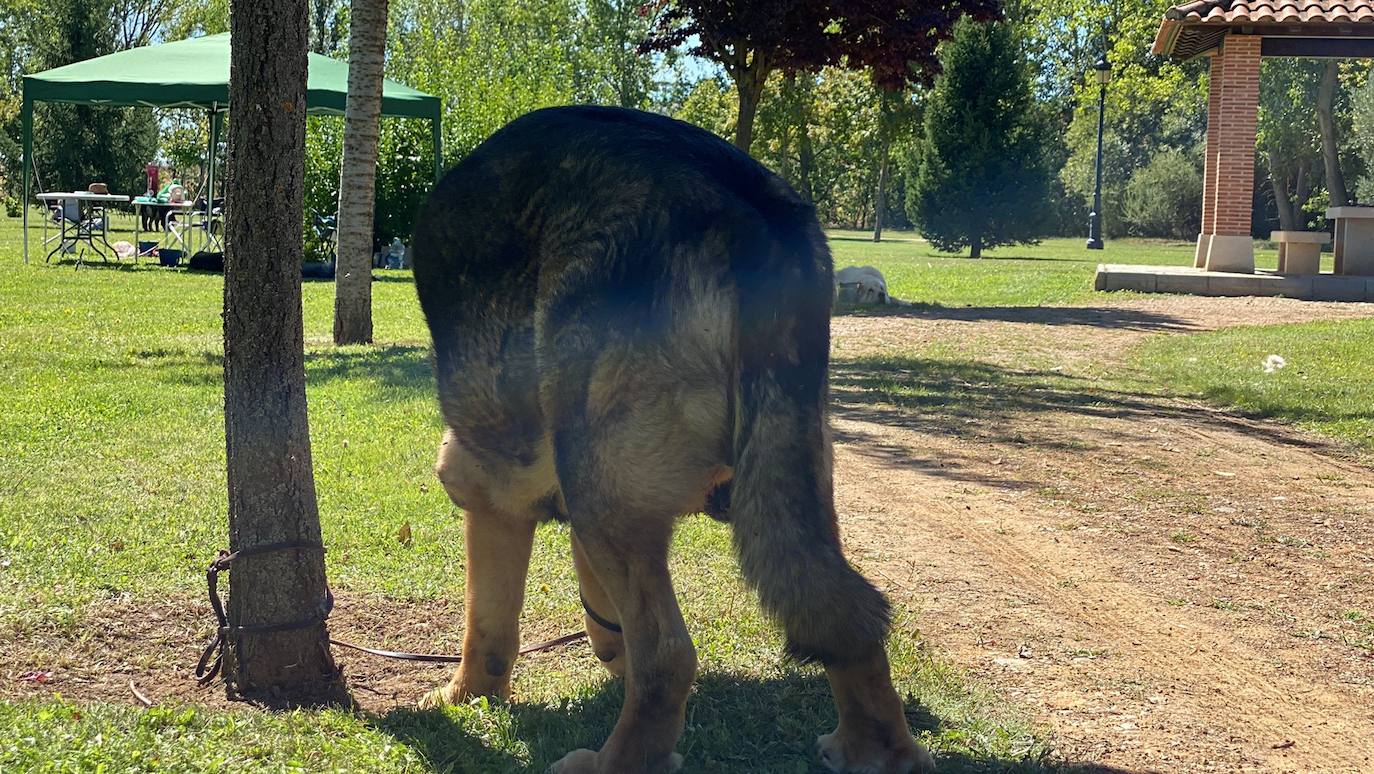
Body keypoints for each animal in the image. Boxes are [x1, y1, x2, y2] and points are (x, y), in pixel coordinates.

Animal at [401, 107, 928, 774]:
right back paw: (874, 748)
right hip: (789, 471)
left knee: (669, 655)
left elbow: (488, 626)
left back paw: (614, 760)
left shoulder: (496, 503)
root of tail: (742, 201)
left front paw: (462, 697)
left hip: (602, 485)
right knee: (842, 613)